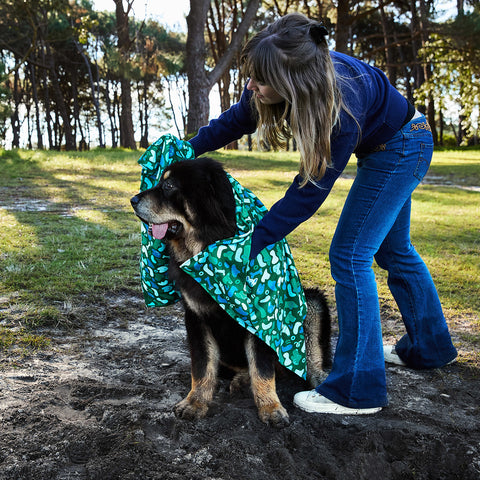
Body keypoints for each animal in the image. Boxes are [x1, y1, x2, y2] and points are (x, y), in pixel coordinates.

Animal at [129, 158, 330, 428]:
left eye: (169, 186)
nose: (133, 200)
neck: (207, 245)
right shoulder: (196, 317)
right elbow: (202, 367)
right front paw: (195, 402)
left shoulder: (262, 318)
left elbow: (262, 368)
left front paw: (270, 407)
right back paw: (242, 380)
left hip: (311, 303)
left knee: (307, 362)